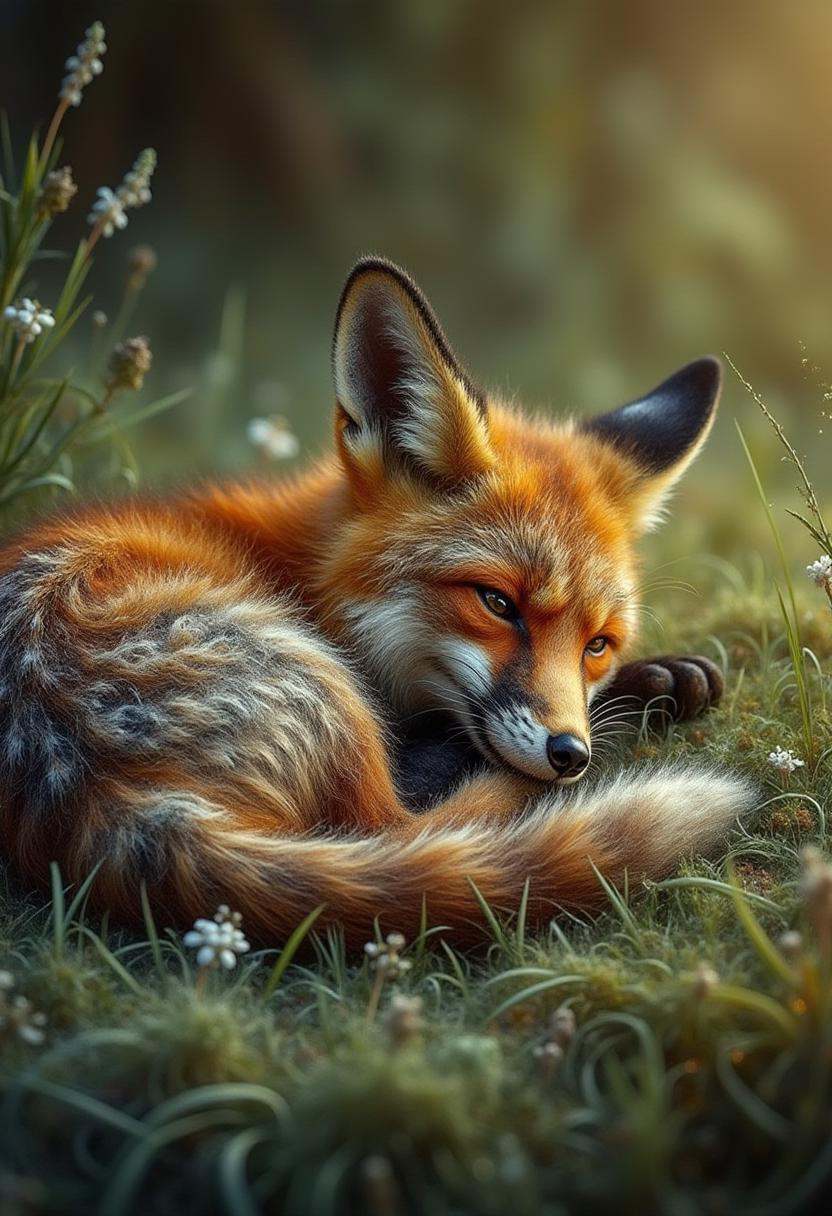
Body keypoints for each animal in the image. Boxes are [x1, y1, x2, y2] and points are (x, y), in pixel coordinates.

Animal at [0, 257, 753, 946]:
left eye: (597, 644)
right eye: (496, 602)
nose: (571, 754)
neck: (301, 566)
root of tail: (93, 788)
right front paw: (644, 689)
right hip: (333, 697)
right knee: (404, 824)